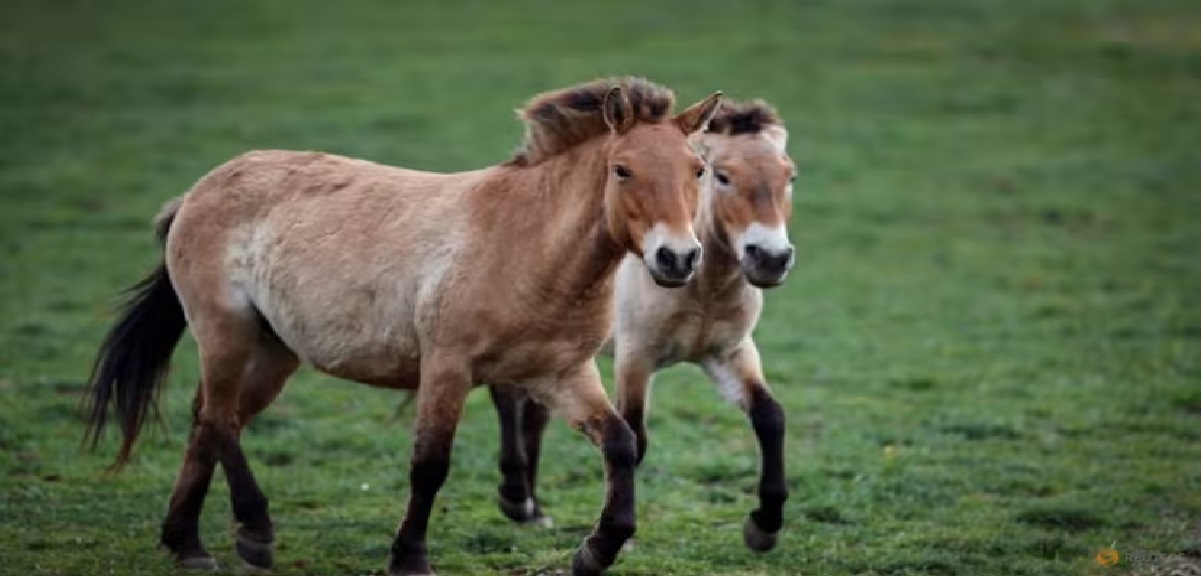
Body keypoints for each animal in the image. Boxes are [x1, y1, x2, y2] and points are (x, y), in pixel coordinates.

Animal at [87, 77, 721, 576]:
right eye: (622, 169)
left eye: (698, 170)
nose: (678, 259)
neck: (527, 245)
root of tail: (197, 193)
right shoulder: (447, 368)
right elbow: (430, 463)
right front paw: (409, 558)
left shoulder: (561, 373)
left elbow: (621, 443)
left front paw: (597, 550)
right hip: (225, 331)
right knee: (218, 419)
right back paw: (254, 531)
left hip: (273, 350)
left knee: (213, 421)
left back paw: (187, 543)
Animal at [488, 100, 798, 555]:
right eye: (721, 176)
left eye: (790, 176)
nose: (771, 258)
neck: (701, 288)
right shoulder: (636, 358)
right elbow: (635, 437)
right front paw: (615, 539)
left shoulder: (730, 352)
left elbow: (770, 416)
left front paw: (764, 526)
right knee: (507, 395)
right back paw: (515, 499)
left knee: (535, 410)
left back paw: (533, 508)